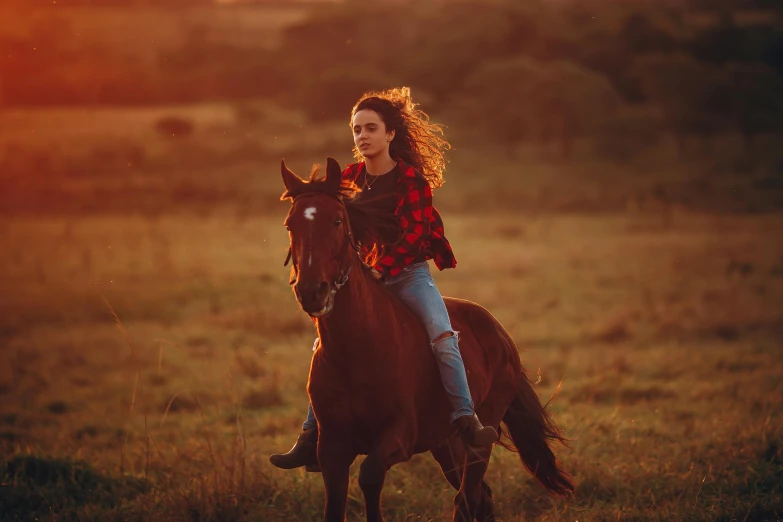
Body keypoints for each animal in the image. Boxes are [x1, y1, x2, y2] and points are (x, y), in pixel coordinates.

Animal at [282, 157, 576, 520]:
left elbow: (370, 477)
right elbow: (336, 503)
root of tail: (501, 335)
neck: (357, 348)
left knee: (467, 497)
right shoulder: (332, 449)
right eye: (290, 225)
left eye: (337, 220)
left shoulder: (399, 437)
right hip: (445, 444)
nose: (312, 291)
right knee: (481, 496)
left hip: (480, 438)